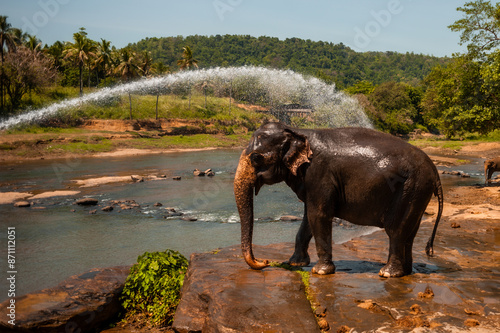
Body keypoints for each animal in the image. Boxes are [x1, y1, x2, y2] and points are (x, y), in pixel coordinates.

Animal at [232, 122, 444, 278]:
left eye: (256, 158)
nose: (265, 262)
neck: (297, 131)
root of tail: (435, 171)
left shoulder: (319, 174)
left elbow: (318, 215)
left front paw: (320, 271)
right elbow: (308, 217)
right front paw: (295, 263)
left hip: (411, 187)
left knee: (396, 230)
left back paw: (387, 274)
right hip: (417, 191)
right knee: (410, 231)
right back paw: (406, 271)